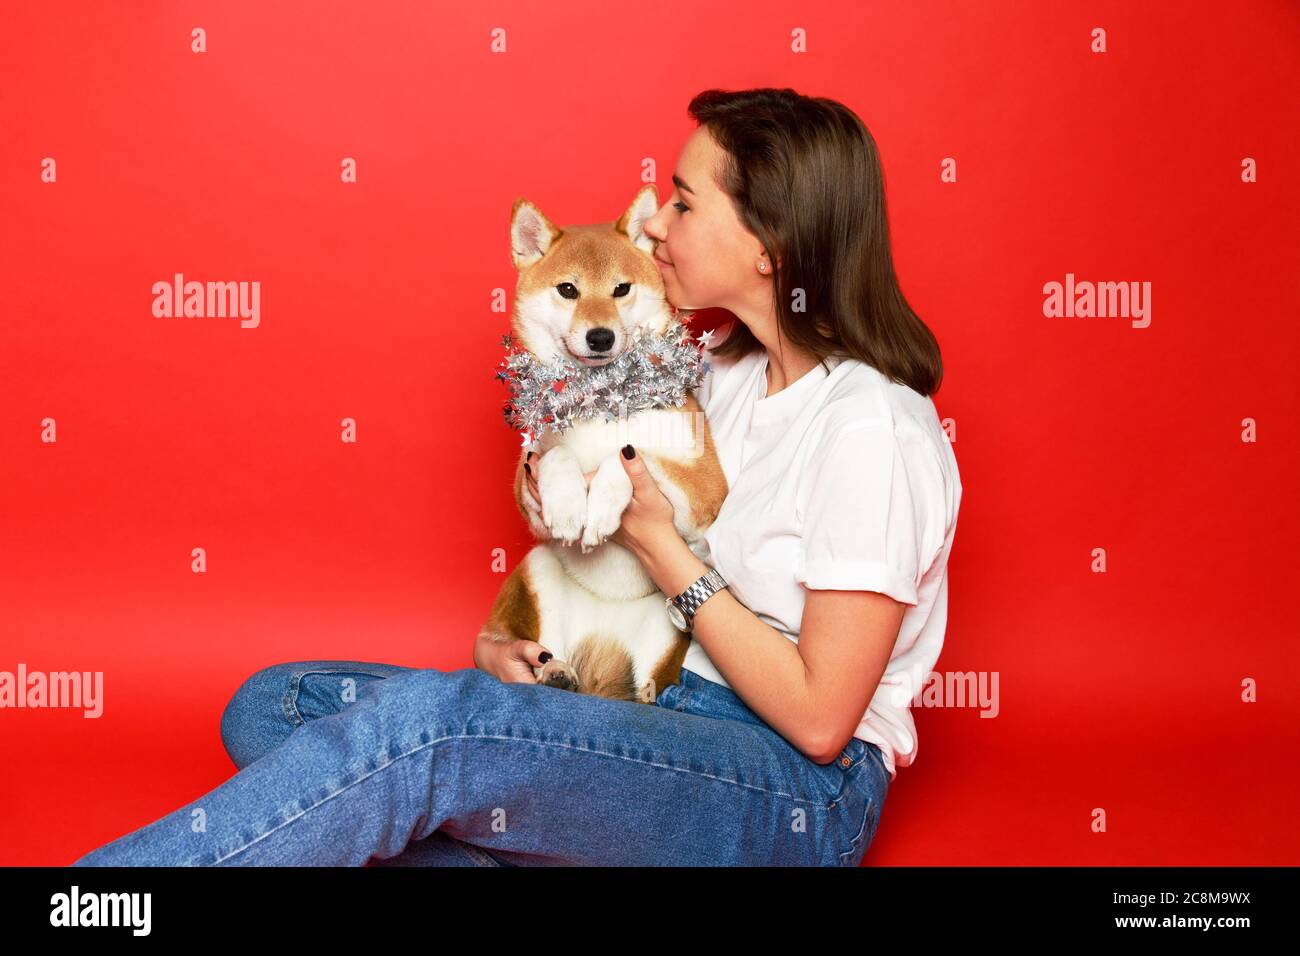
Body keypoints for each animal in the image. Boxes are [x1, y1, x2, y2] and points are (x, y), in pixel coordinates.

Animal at [480, 187, 733, 707]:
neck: (604, 398)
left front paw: (600, 504)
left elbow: (635, 455)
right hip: (539, 571)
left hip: (667, 626)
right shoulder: (528, 476)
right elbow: (555, 457)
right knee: (552, 651)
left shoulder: (706, 487)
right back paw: (556, 672)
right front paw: (568, 502)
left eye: (621, 289)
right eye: (568, 290)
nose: (600, 336)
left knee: (645, 689)